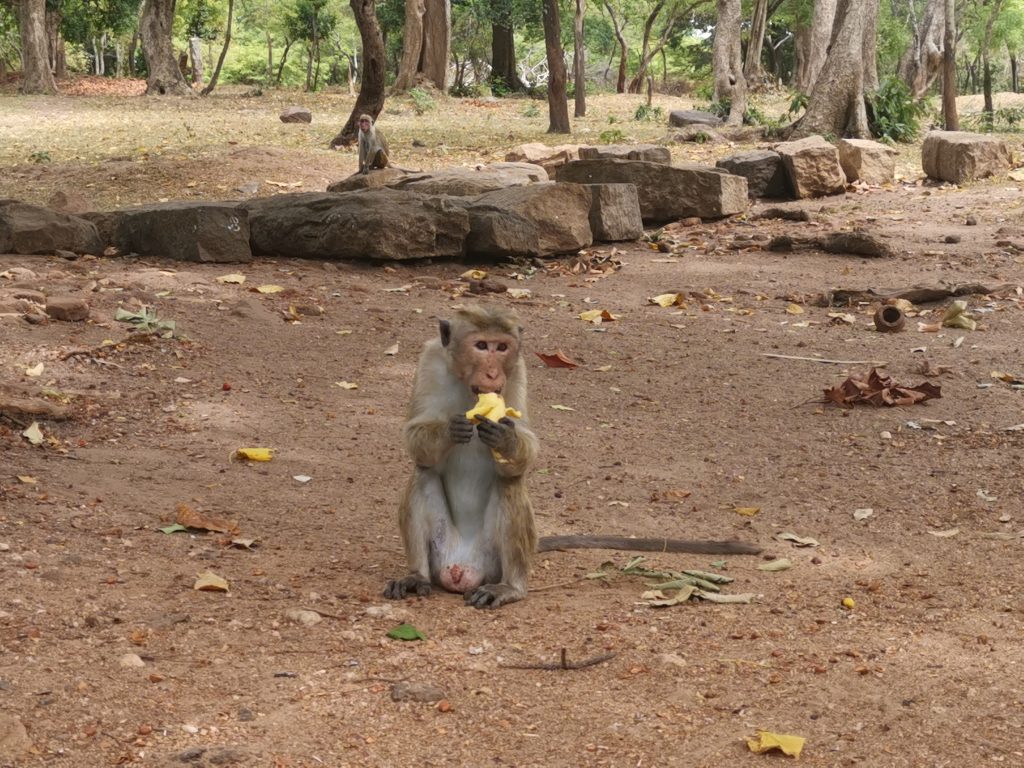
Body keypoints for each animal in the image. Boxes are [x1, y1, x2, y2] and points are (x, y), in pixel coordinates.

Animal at [385, 307, 761, 614]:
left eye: (501, 348)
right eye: (481, 345)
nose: (493, 375)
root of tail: (462, 569)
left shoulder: (517, 370)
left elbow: (525, 449)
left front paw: (506, 438)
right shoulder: (429, 360)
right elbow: (413, 439)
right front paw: (453, 428)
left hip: (492, 559)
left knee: (510, 484)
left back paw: (511, 587)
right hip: (442, 552)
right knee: (423, 474)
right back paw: (416, 576)